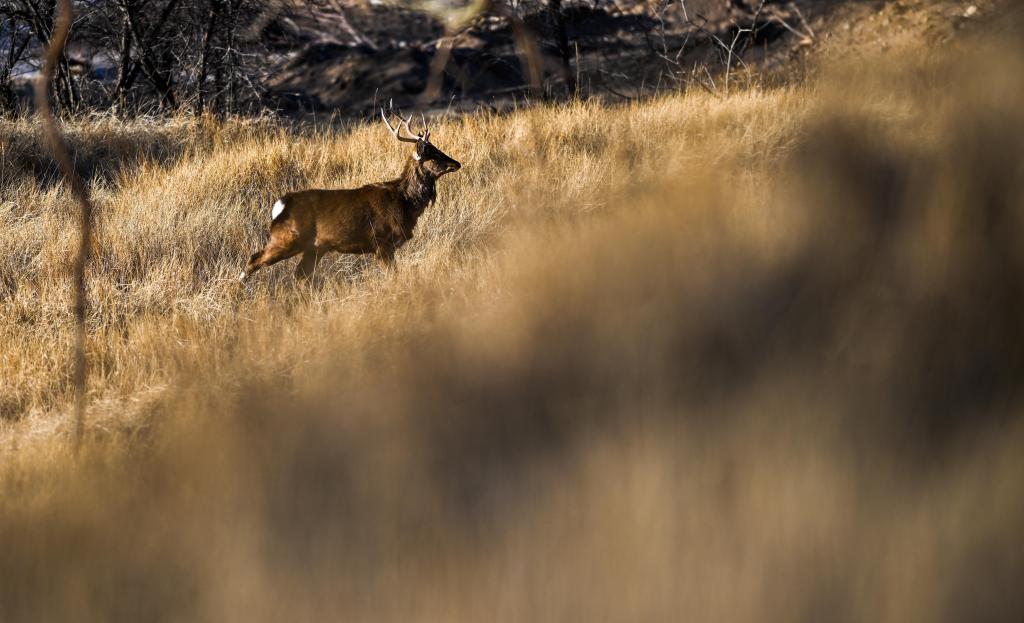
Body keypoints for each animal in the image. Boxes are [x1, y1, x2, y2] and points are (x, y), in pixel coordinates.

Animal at [237, 107, 462, 282]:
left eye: (437, 149)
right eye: (433, 154)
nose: (457, 163)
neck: (405, 202)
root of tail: (280, 205)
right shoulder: (382, 242)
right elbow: (393, 275)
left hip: (314, 247)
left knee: (300, 275)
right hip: (288, 238)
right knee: (253, 260)